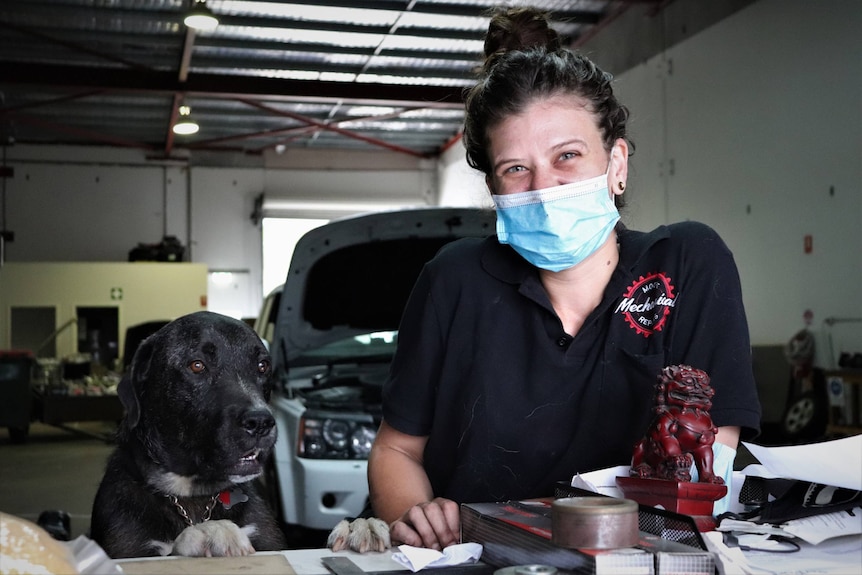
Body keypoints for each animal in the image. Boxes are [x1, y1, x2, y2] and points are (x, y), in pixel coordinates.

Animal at [90, 310, 286, 560]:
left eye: (262, 366)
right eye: (197, 365)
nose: (260, 422)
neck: (193, 495)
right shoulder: (127, 550)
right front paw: (210, 531)